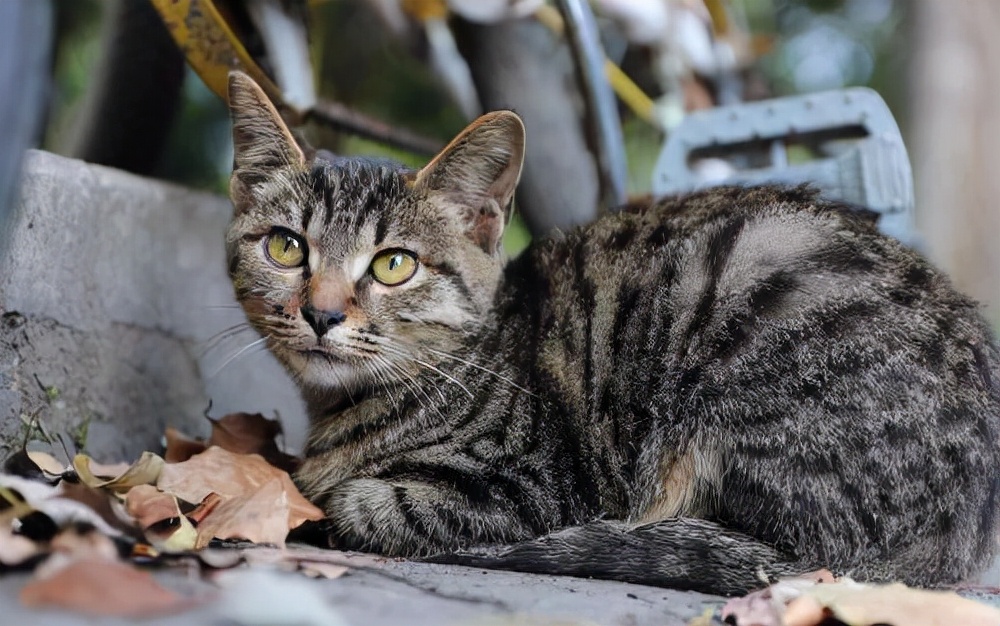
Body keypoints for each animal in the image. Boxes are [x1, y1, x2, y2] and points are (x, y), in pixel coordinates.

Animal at [225, 70, 1000, 592]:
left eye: (393, 265)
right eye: (286, 248)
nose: (322, 312)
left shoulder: (532, 484)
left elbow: (364, 502)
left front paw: (323, 499)